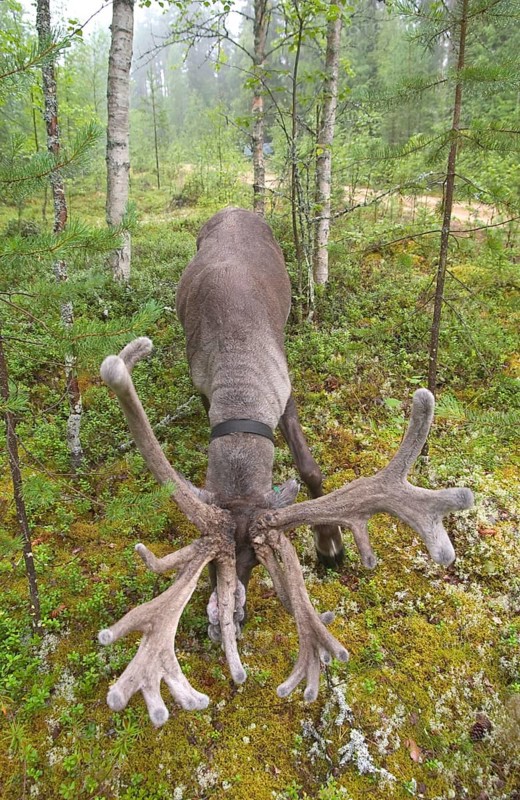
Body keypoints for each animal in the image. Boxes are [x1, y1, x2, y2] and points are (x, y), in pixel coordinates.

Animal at [98, 207, 473, 727]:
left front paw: (330, 544)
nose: (224, 624)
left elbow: (310, 468)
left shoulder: (286, 391)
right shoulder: (203, 387)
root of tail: (235, 208)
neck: (237, 373)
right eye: (211, 568)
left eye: (256, 561)